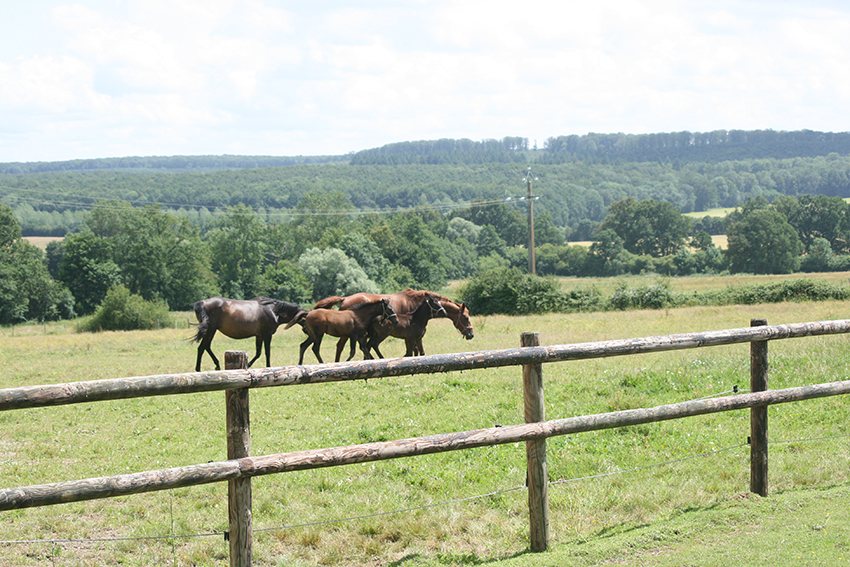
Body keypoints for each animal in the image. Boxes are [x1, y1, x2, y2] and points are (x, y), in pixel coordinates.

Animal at [315, 289, 474, 356]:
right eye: (466, 318)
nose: (471, 334)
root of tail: (344, 299)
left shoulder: (411, 337)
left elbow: (414, 352)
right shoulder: (411, 337)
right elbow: (414, 351)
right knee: (341, 347)